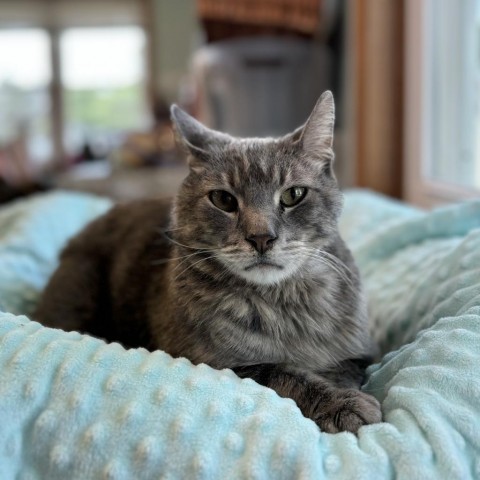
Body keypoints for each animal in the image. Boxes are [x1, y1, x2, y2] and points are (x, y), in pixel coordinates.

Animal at [35, 92, 382, 434]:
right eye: (223, 199)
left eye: (293, 195)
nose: (261, 238)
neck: (284, 304)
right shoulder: (217, 363)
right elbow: (284, 373)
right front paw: (340, 403)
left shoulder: (359, 354)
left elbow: (344, 367)